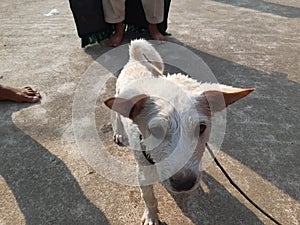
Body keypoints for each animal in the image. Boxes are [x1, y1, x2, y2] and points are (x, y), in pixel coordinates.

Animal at [104, 39, 254, 224]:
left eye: (201, 128)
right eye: (156, 130)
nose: (184, 184)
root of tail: (136, 58)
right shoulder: (143, 173)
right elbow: (149, 197)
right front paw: (151, 216)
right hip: (118, 97)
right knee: (116, 115)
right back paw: (119, 132)